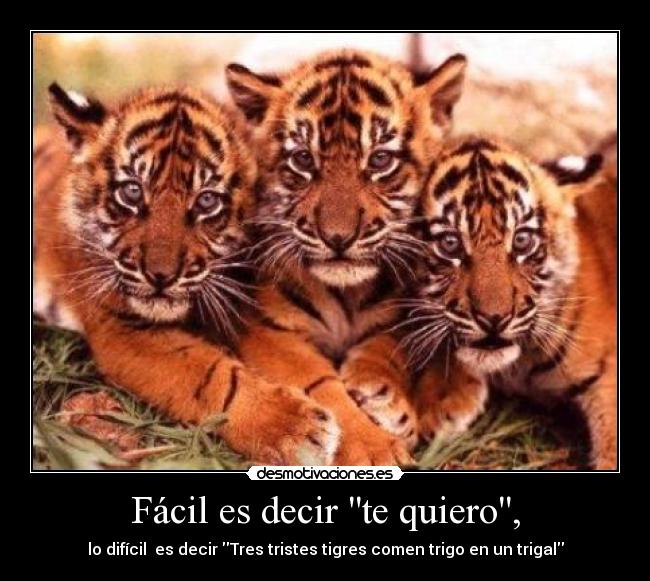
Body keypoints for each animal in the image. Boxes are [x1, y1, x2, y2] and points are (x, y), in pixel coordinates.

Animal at [33, 83, 342, 466]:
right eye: (132, 191)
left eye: (207, 201)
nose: (161, 276)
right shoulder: (123, 327)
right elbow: (212, 377)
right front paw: (297, 431)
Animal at [224, 49, 467, 465]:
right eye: (303, 160)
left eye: (380, 160)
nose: (338, 237)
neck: (346, 294)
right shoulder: (268, 330)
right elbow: (320, 385)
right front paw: (373, 450)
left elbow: (388, 348)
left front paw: (383, 395)